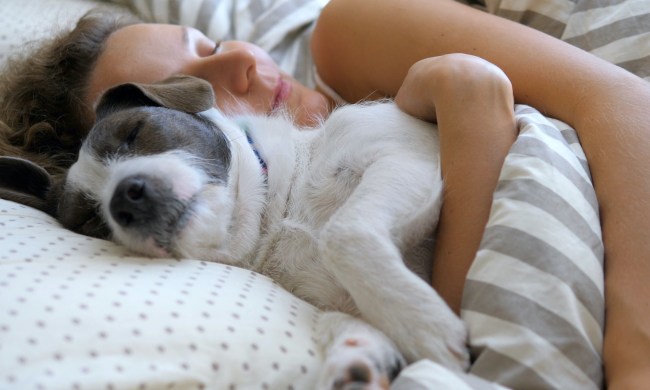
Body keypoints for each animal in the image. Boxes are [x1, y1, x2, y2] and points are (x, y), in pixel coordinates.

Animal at [0, 75, 466, 386]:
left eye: (134, 132)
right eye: (89, 219)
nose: (124, 200)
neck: (281, 209)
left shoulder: (405, 157)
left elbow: (343, 233)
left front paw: (427, 327)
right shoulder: (329, 298)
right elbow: (342, 318)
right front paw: (361, 359)